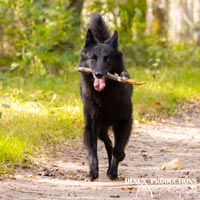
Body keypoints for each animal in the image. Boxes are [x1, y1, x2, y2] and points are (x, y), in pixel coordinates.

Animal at [79, 12, 133, 181]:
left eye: (107, 58)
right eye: (93, 58)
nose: (98, 74)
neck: (105, 95)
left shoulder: (125, 121)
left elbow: (118, 150)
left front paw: (118, 161)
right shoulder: (91, 125)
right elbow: (92, 151)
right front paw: (92, 172)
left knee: (112, 145)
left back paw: (112, 171)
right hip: (101, 129)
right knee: (108, 143)